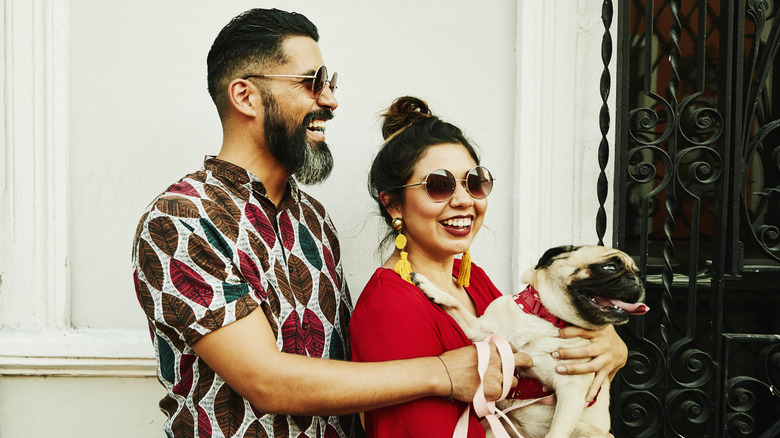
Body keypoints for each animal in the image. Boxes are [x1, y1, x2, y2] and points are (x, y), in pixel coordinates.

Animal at [414, 246, 644, 438]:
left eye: (639, 273)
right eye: (609, 267)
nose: (637, 280)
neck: (546, 319)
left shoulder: (572, 391)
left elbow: (556, 433)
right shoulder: (480, 331)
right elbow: (454, 304)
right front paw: (428, 286)